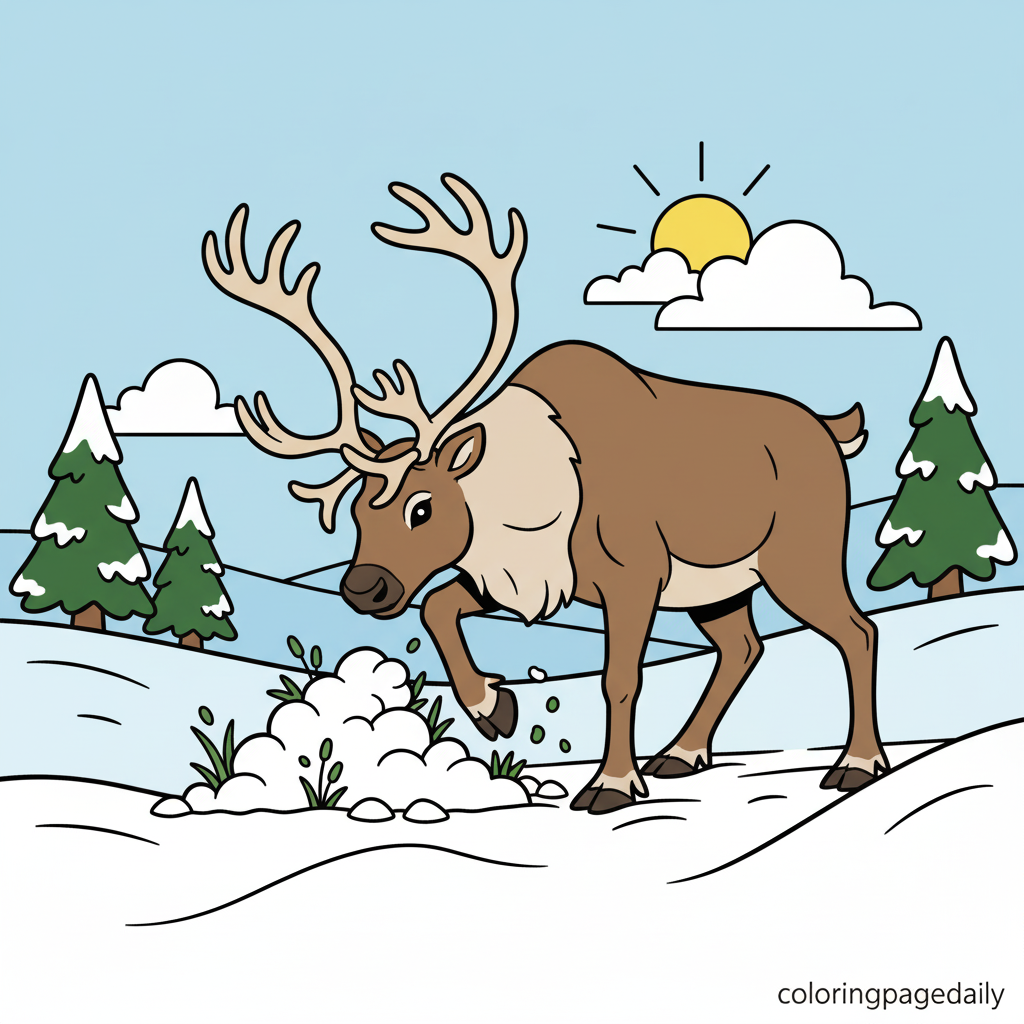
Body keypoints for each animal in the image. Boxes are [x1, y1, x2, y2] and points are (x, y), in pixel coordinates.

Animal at [203, 174, 889, 814]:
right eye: (355, 513)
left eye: (422, 507)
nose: (364, 588)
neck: (521, 496)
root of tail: (832, 428)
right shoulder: (515, 577)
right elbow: (437, 608)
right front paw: (493, 707)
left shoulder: (633, 575)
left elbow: (619, 679)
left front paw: (611, 783)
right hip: (720, 587)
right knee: (743, 647)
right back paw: (681, 753)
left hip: (799, 559)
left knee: (858, 631)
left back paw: (857, 764)